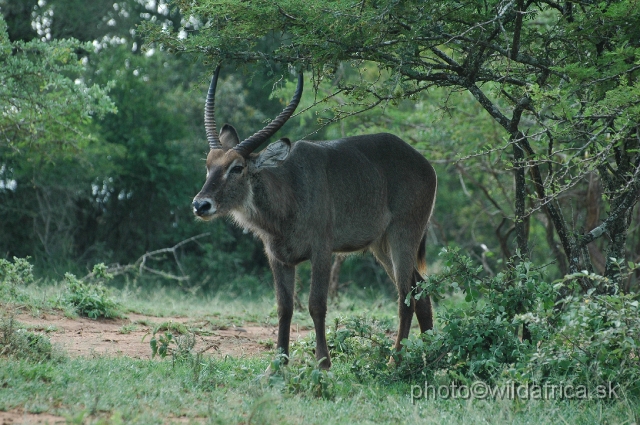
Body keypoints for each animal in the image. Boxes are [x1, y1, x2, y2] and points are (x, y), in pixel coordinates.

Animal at [192, 67, 438, 368]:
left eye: (237, 168)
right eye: (208, 165)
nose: (200, 205)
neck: (288, 194)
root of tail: (425, 164)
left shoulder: (322, 250)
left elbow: (316, 305)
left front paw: (322, 364)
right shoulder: (278, 257)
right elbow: (284, 308)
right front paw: (278, 365)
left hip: (403, 235)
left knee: (406, 297)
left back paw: (396, 362)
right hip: (381, 246)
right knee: (421, 291)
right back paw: (433, 353)